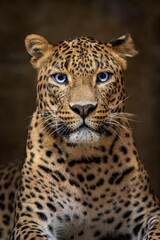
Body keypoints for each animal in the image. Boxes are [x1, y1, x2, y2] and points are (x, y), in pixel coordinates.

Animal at [0, 32, 160, 240]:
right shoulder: (30, 220)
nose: (83, 108)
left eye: (103, 77)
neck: (85, 165)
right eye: (60, 78)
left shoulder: (149, 212)